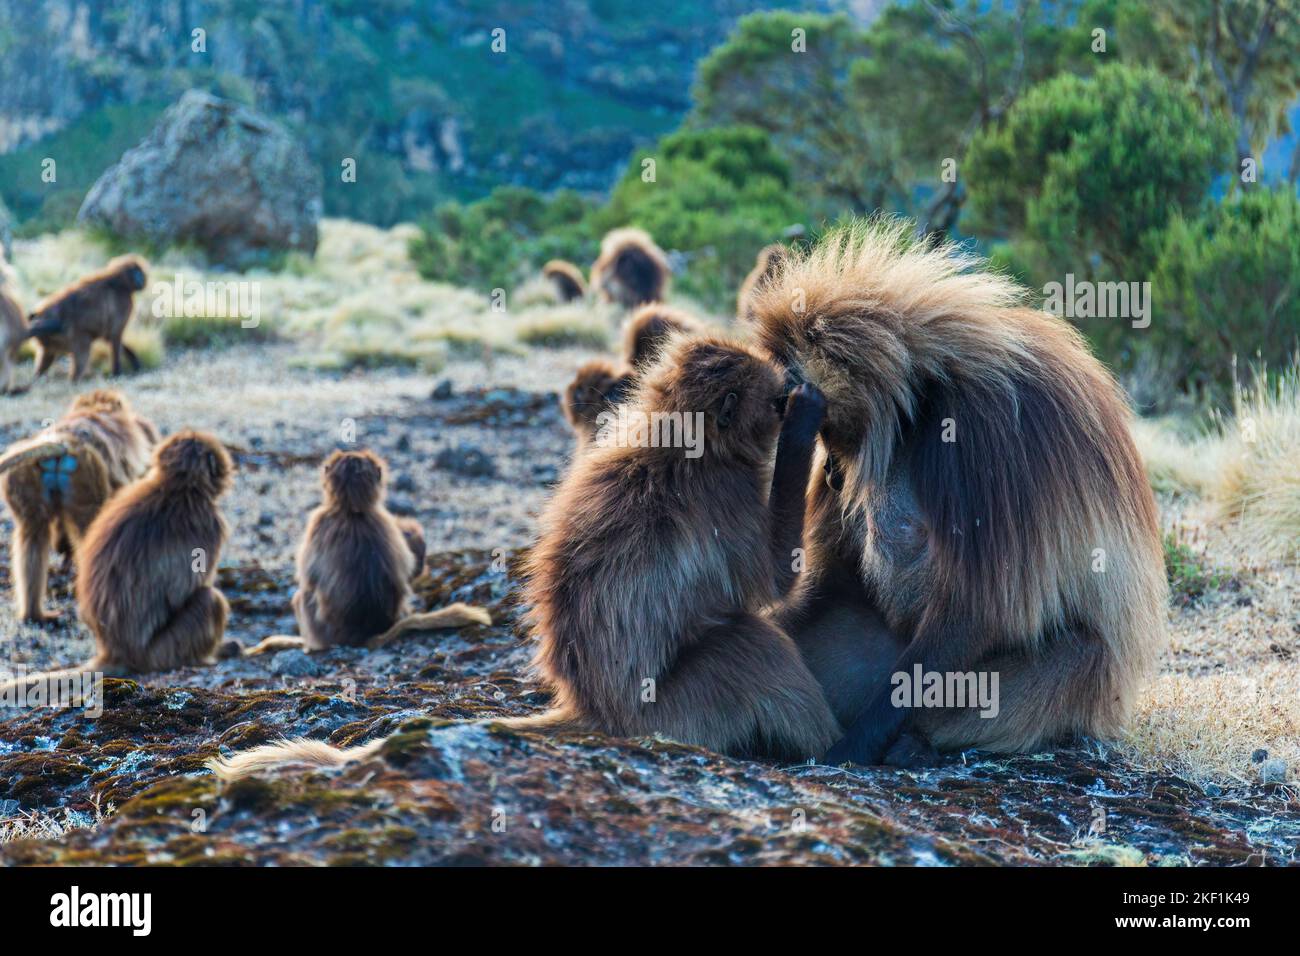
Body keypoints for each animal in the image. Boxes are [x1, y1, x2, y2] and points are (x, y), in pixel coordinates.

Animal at [0, 389, 158, 622]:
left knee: (32, 533)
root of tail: (62, 442)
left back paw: (34, 613)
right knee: (88, 532)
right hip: (85, 474)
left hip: (30, 474)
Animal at [243, 450, 489, 657]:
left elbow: (308, 577)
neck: (353, 511)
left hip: (319, 626)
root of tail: (363, 636)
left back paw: (308, 645)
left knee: (301, 596)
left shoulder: (318, 522)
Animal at [749, 218, 1168, 766]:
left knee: (1078, 653)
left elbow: (979, 608)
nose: (835, 474)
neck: (924, 396)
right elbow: (832, 574)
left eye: (815, 416)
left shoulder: (981, 436)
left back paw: (915, 745)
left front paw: (852, 747)